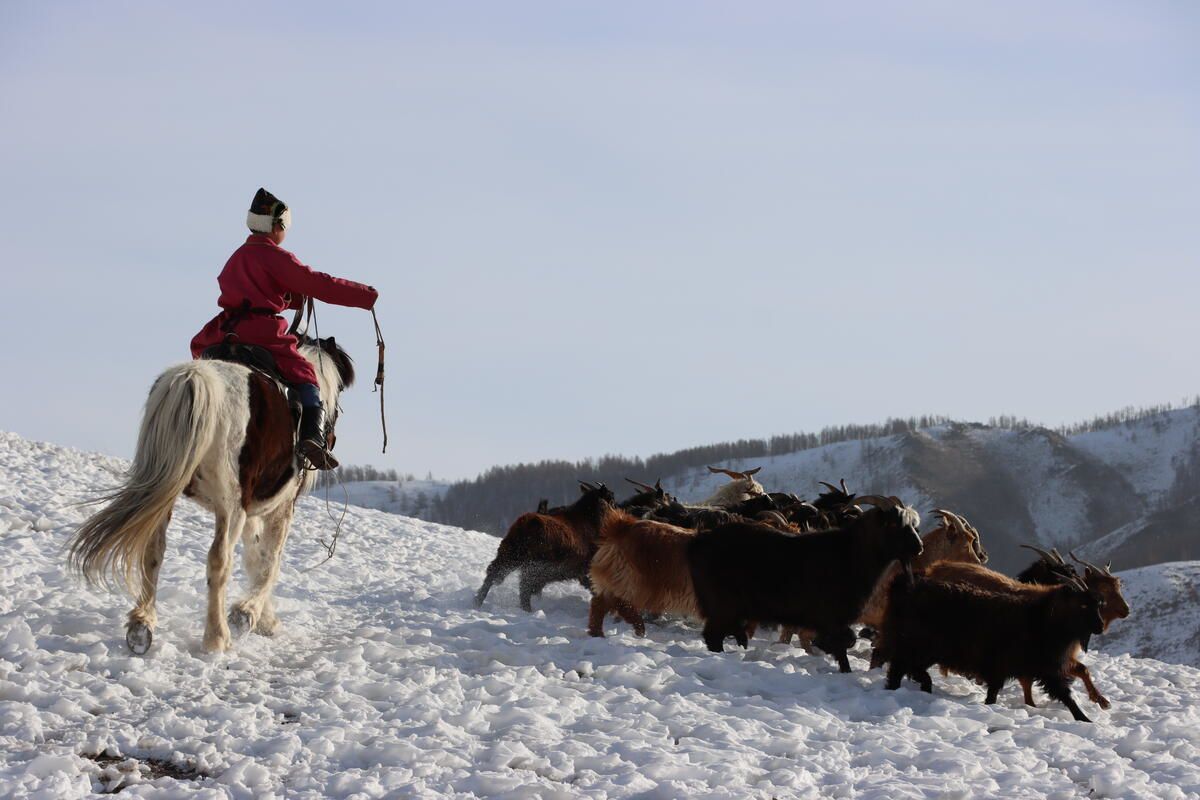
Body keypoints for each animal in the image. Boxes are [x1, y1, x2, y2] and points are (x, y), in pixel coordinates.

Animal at [474, 482, 617, 611]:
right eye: (611, 499)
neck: (590, 519)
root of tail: (526, 523)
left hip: (509, 554)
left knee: (494, 573)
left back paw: (478, 601)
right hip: (532, 565)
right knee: (523, 587)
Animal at [687, 496, 924, 672]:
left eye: (914, 525)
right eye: (893, 523)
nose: (919, 547)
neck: (850, 554)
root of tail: (700, 541)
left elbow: (845, 643)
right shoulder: (830, 617)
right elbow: (843, 644)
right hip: (722, 603)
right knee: (713, 635)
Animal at [879, 570, 1104, 722]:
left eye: (1098, 605)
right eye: (1083, 605)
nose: (1100, 627)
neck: (1042, 618)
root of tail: (905, 588)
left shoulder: (1034, 669)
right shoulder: (1031, 668)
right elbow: (1065, 695)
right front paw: (1085, 720)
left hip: (925, 650)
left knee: (910, 668)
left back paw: (924, 686)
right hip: (917, 645)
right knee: (899, 667)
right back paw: (898, 689)